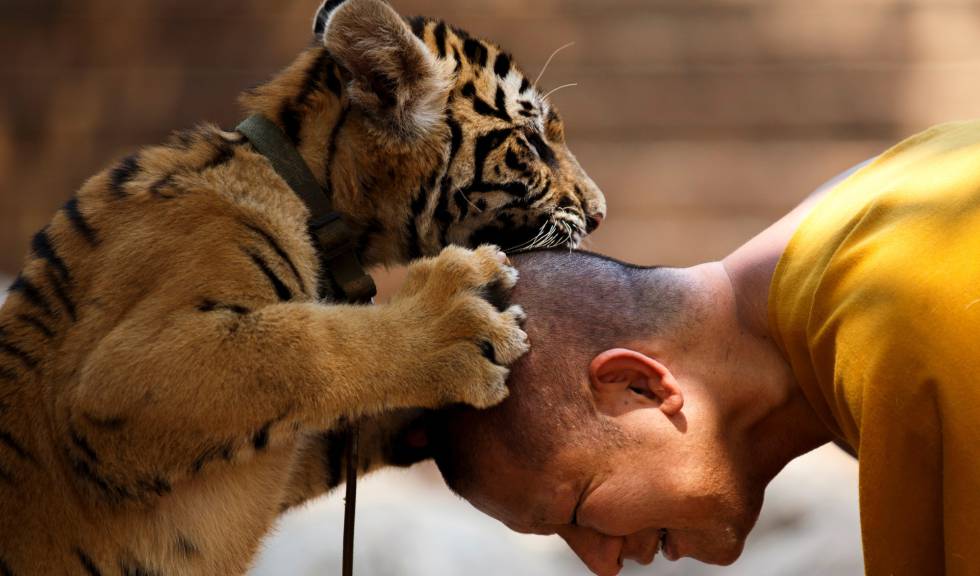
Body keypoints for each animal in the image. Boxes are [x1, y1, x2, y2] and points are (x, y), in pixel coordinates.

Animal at [0, 0, 606, 574]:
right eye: (532, 143)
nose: (600, 213)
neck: (314, 194)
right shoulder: (123, 374)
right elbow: (302, 348)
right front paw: (453, 323)